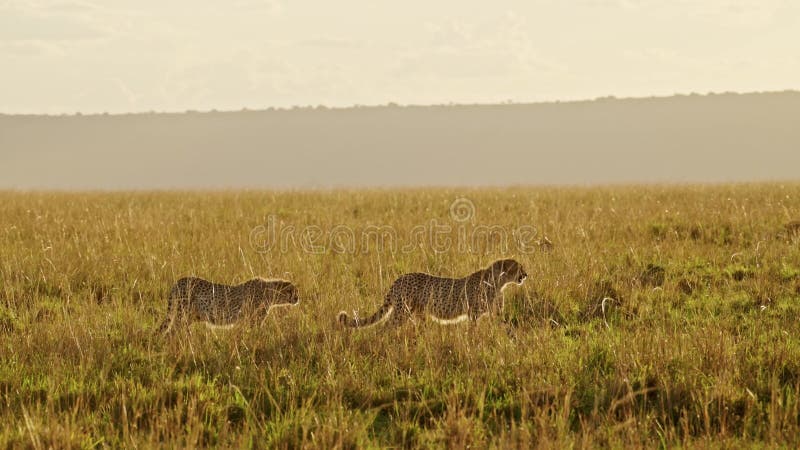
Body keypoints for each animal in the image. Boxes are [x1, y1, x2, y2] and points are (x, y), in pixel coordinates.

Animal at [155, 276, 298, 336]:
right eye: (293, 291)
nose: (298, 299)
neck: (270, 293)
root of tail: (179, 280)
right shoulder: (252, 320)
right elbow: (255, 334)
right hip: (183, 313)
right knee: (172, 331)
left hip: (192, 316)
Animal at [336, 258, 524, 328]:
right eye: (519, 268)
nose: (526, 275)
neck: (499, 282)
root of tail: (400, 278)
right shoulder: (473, 313)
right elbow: (473, 329)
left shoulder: (496, 313)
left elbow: (507, 327)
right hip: (401, 311)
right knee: (385, 327)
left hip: (417, 312)